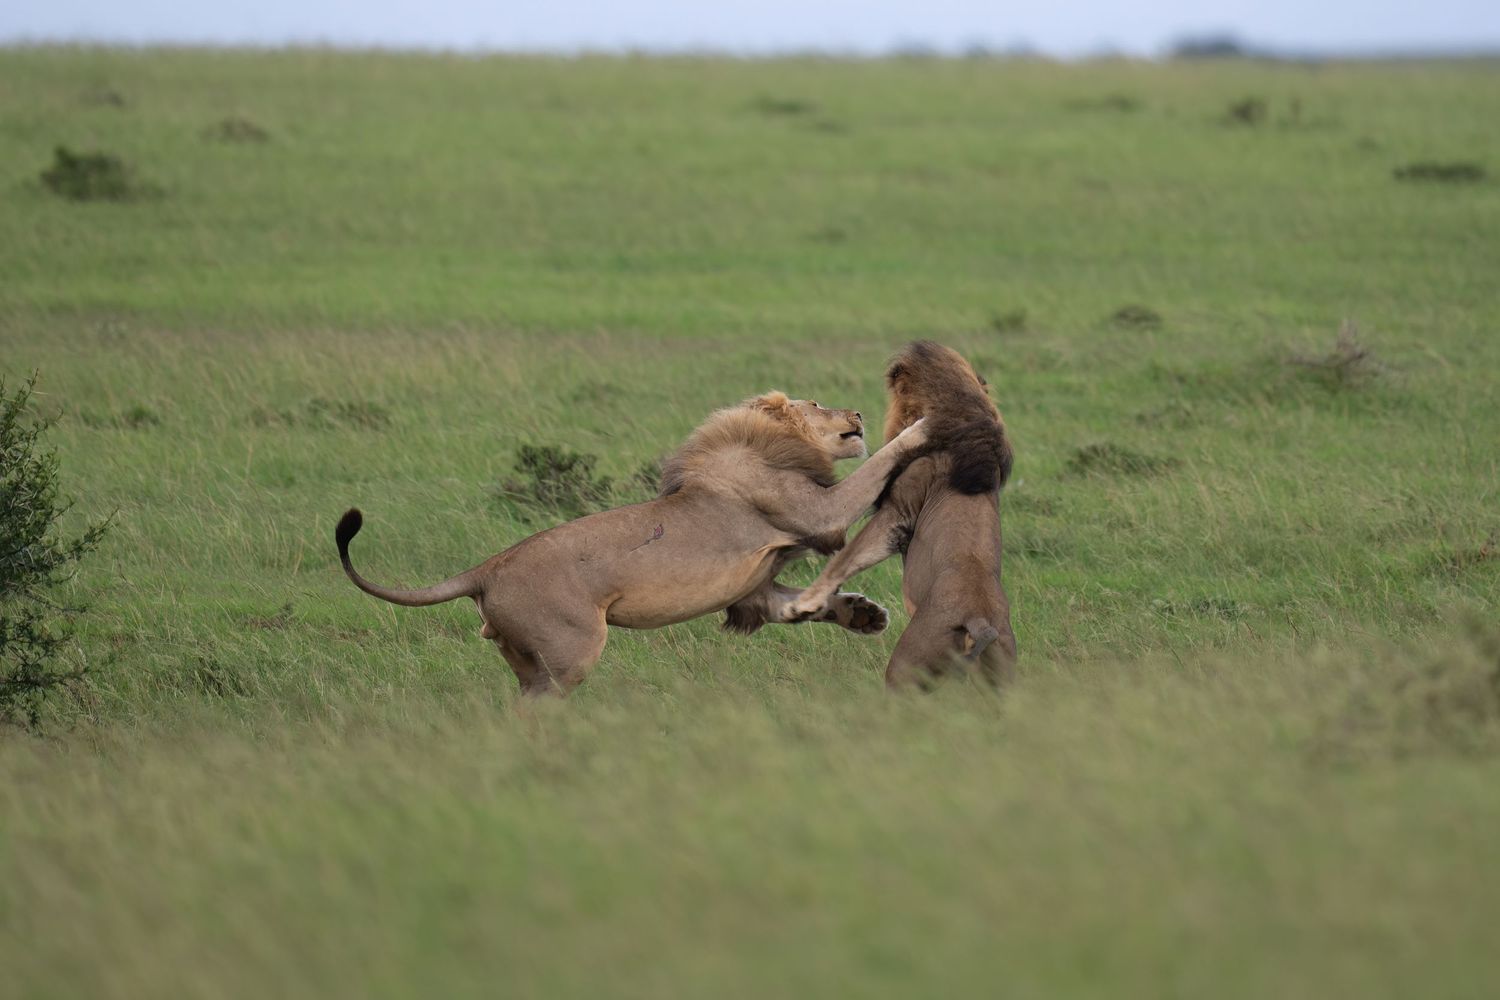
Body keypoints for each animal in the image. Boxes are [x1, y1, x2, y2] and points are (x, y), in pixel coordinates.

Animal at [335, 392, 928, 696]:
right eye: (818, 403)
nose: (857, 413)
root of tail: (487, 568)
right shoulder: (818, 512)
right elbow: (876, 465)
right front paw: (924, 424)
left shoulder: (754, 590)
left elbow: (799, 604)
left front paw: (865, 616)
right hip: (569, 653)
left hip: (529, 658)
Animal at [783, 341, 1017, 689]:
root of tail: (980, 621)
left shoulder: (898, 512)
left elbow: (846, 557)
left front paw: (803, 604)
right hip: (1002, 675)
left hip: (905, 667)